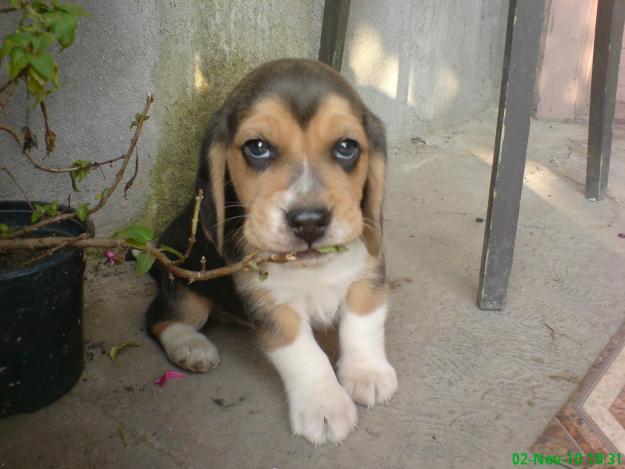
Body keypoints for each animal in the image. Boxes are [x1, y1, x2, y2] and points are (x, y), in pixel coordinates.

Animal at [146, 57, 394, 442]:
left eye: (347, 147)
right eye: (257, 147)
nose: (309, 221)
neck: (310, 268)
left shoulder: (368, 272)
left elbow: (363, 323)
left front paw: (366, 373)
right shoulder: (268, 302)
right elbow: (303, 353)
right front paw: (325, 405)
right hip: (183, 280)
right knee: (160, 318)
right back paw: (191, 346)